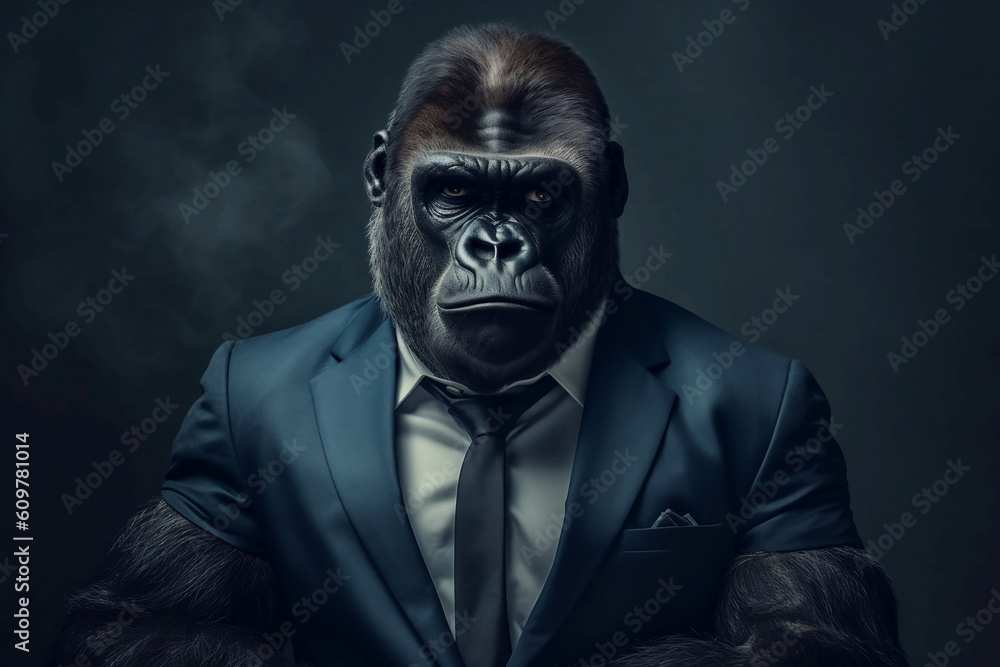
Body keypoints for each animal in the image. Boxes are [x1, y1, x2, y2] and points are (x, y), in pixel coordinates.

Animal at [51, 23, 907, 667]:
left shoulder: (792, 434)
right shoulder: (221, 431)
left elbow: (803, 635)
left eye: (539, 192)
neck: (489, 402)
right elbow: (147, 624)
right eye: (456, 190)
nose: (497, 244)